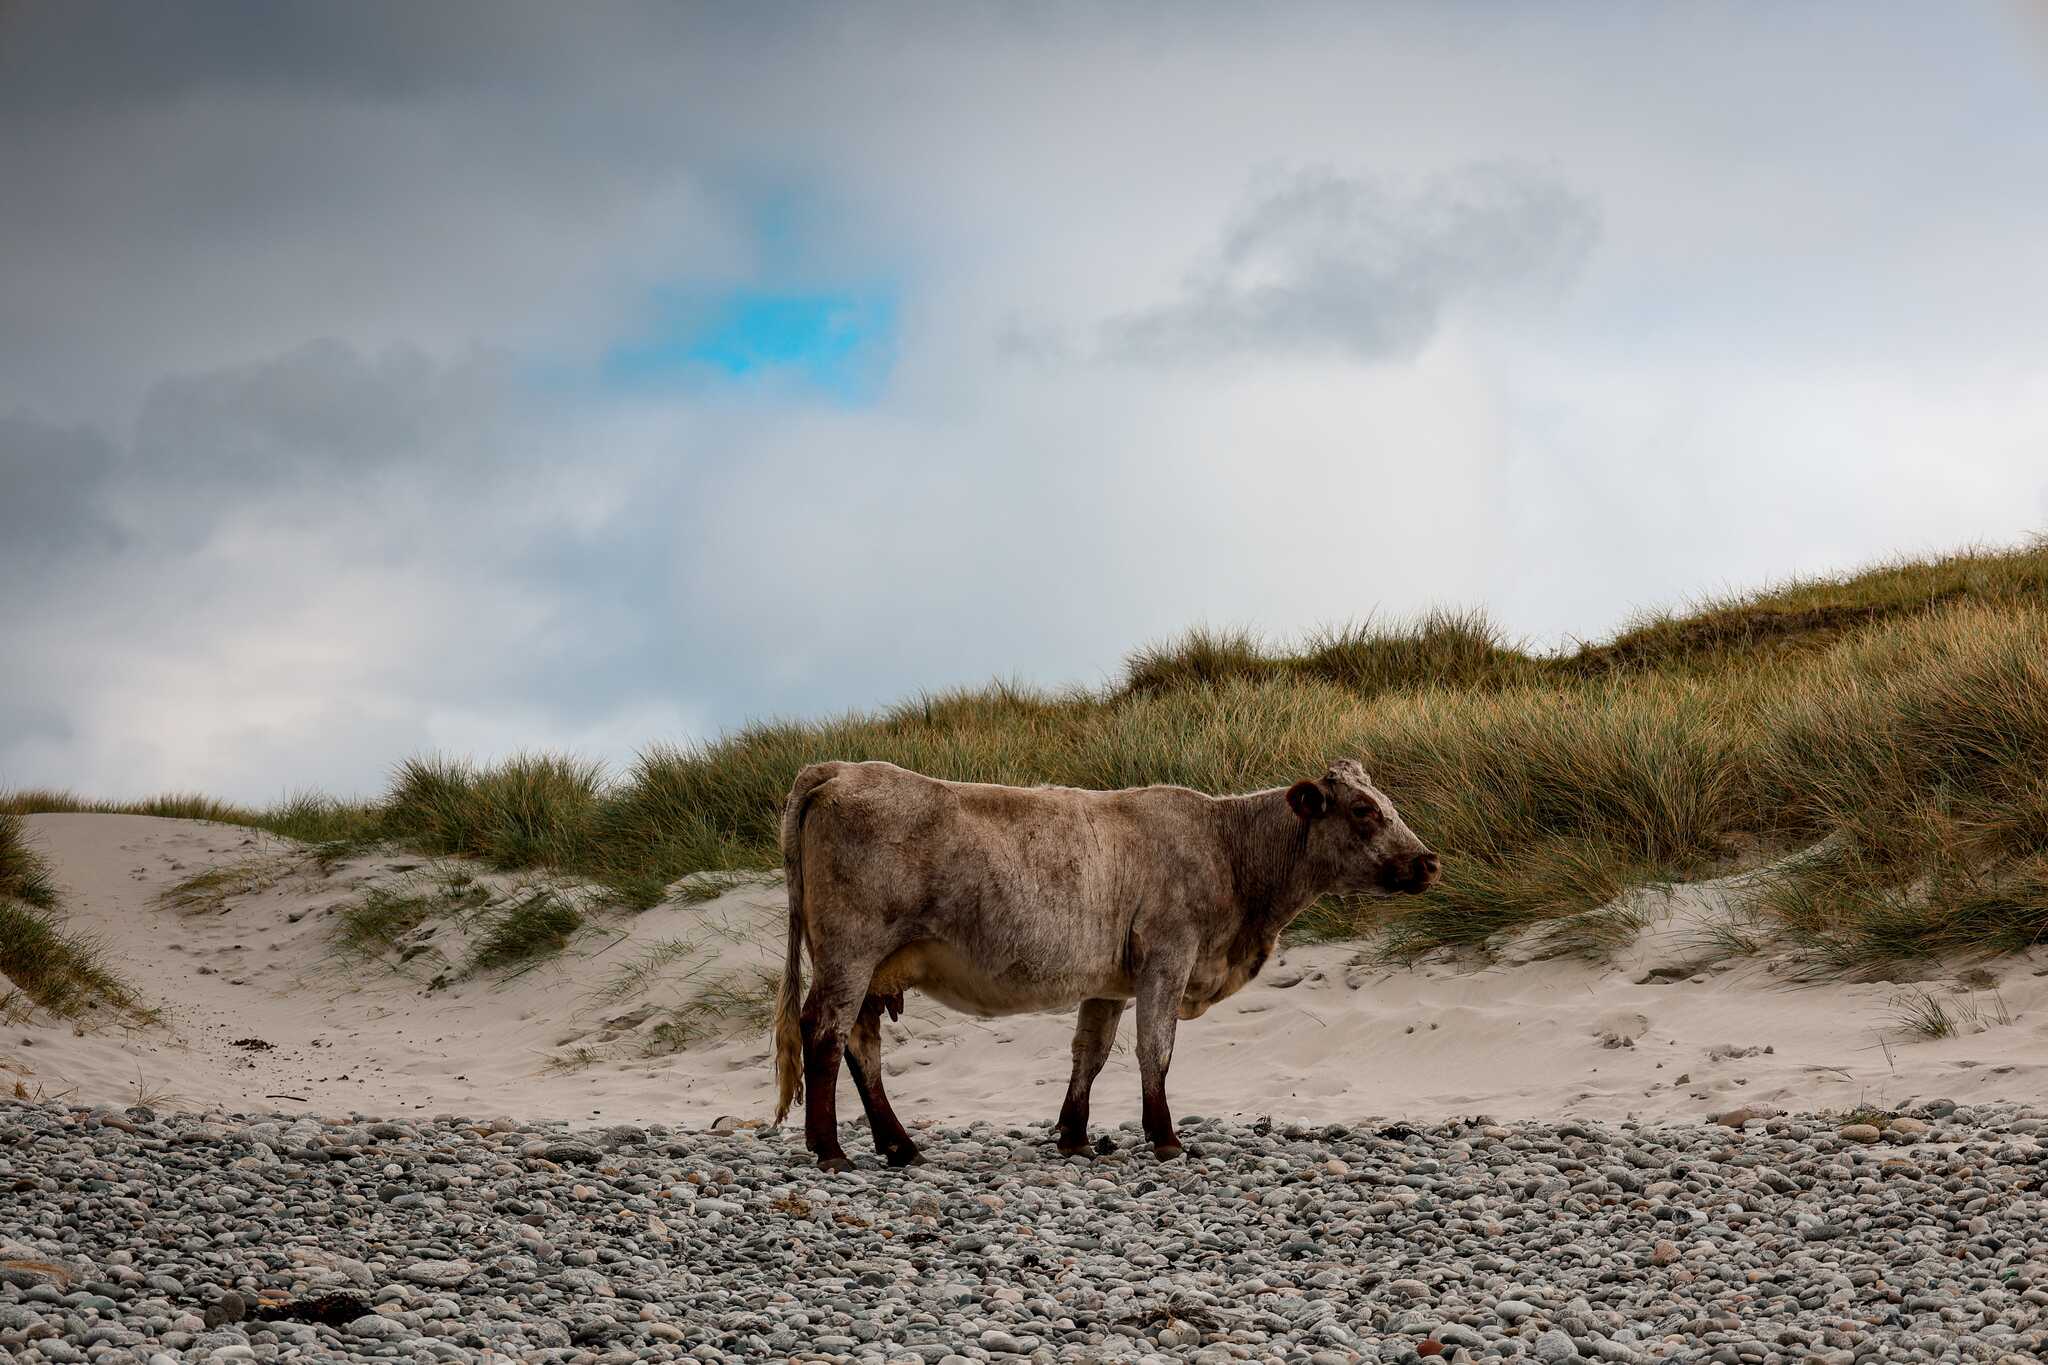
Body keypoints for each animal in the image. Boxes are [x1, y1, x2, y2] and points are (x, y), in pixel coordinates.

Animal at [769, 758, 1439, 1171]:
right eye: (1363, 810)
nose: (1428, 861)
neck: (1227, 848)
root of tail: (839, 769)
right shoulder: (1168, 955)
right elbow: (1154, 1049)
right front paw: (1165, 1137)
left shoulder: (1111, 981)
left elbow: (1088, 1054)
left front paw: (1074, 1136)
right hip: (850, 949)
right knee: (825, 1033)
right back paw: (830, 1149)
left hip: (871, 963)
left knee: (862, 1043)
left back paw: (899, 1145)